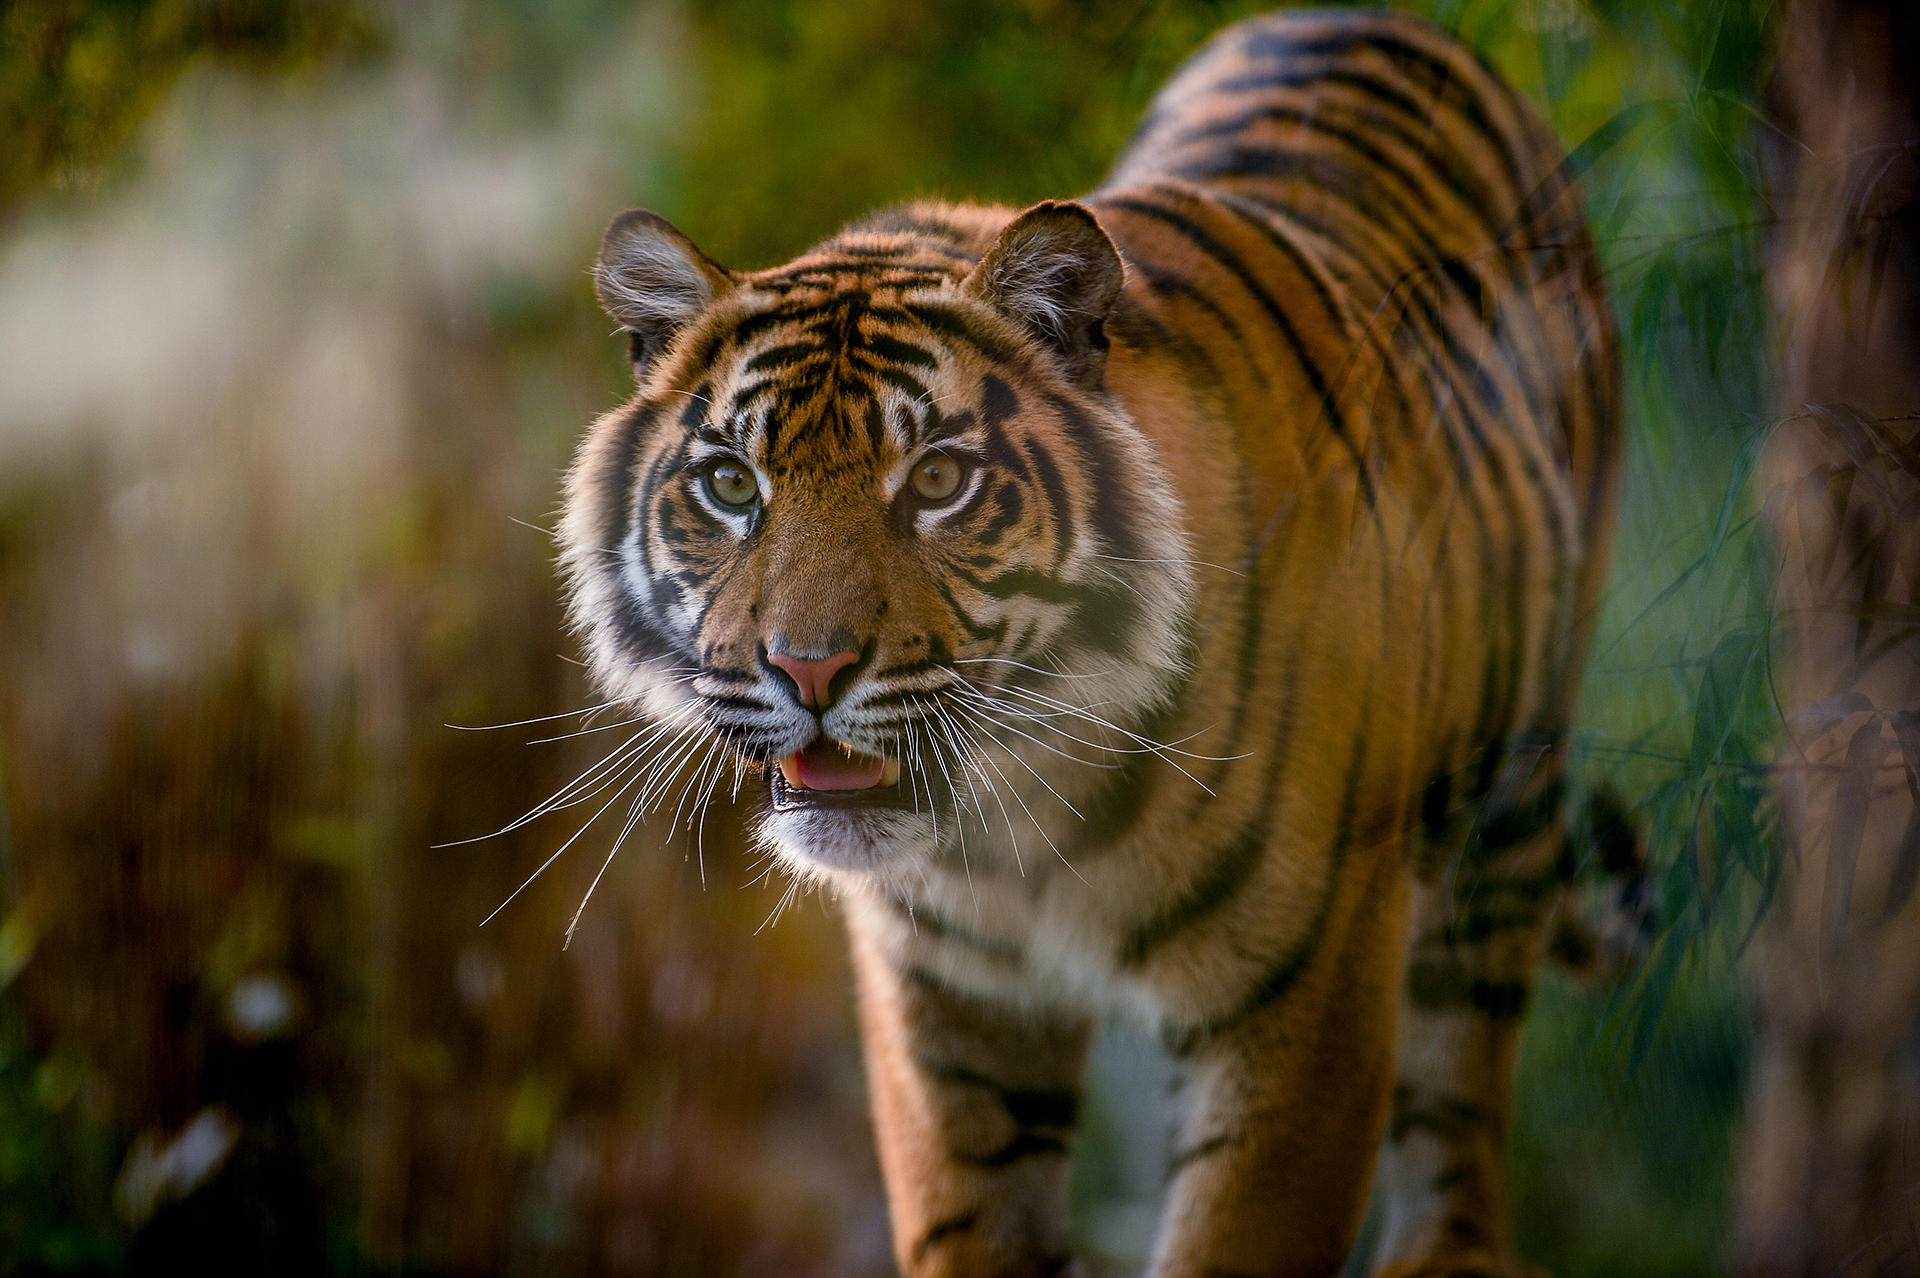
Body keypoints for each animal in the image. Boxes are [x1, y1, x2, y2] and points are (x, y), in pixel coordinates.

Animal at [558, 7, 1620, 1276]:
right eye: (729, 485)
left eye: (940, 481)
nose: (807, 671)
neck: (1019, 829)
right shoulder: (943, 1004)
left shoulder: (1312, 987)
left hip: (1507, 797)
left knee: (1460, 1083)